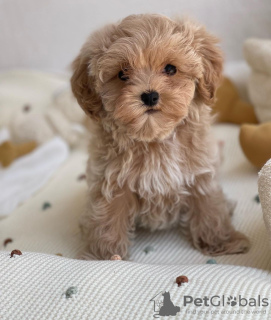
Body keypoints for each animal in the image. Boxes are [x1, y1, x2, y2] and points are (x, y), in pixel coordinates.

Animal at [70, 13, 251, 260]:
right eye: (122, 74)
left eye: (170, 69)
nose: (149, 96)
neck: (155, 139)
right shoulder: (110, 179)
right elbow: (107, 217)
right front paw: (103, 256)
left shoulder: (200, 171)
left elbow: (208, 206)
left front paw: (222, 241)